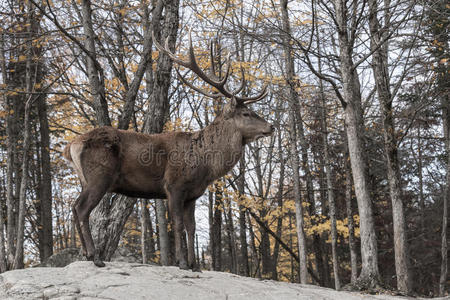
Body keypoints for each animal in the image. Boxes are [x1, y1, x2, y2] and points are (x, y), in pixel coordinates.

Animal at [63, 32, 274, 270]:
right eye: (246, 113)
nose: (271, 126)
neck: (206, 165)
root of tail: (71, 145)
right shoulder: (174, 185)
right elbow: (179, 224)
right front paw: (182, 262)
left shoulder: (193, 194)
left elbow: (191, 227)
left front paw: (194, 264)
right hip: (100, 175)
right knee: (82, 208)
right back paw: (94, 256)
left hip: (85, 178)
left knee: (74, 207)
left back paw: (86, 253)